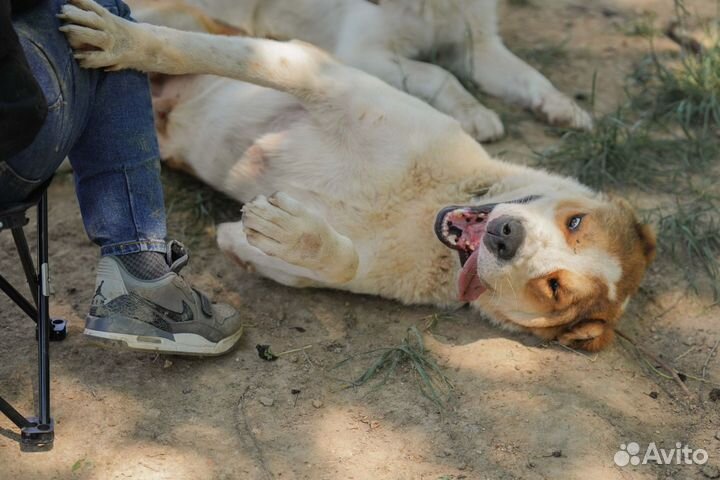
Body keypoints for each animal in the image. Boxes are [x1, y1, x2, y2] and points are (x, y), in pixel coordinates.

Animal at [57, 0, 652, 352]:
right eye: (575, 222)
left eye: (554, 288)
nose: (508, 237)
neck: (425, 202)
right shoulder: (313, 70)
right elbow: (186, 50)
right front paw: (120, 41)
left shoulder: (306, 269)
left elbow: (335, 259)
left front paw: (285, 233)